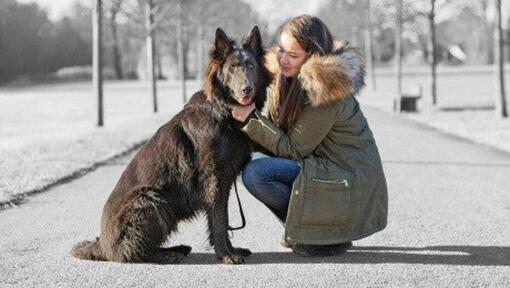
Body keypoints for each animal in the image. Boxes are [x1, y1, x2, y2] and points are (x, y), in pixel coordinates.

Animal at [70, 25, 274, 264]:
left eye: (250, 66)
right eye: (232, 68)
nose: (246, 89)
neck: (221, 110)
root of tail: (101, 244)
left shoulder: (224, 181)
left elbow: (222, 219)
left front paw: (231, 249)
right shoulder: (214, 180)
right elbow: (219, 219)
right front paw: (225, 254)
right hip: (151, 200)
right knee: (134, 253)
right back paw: (168, 254)